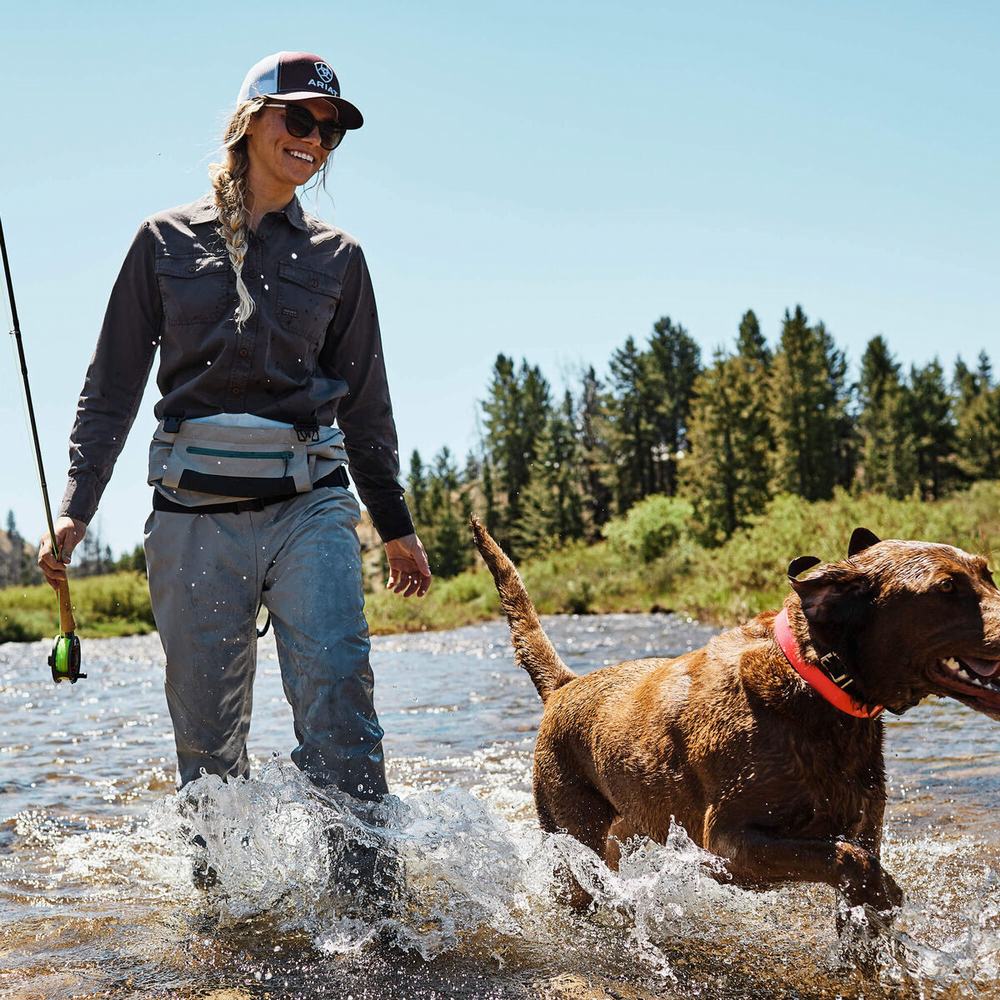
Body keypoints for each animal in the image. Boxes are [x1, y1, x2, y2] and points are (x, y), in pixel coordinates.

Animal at [470, 520, 1000, 916]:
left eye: (987, 572)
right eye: (946, 587)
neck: (815, 681)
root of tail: (563, 686)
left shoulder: (863, 825)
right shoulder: (728, 844)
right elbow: (847, 860)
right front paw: (883, 890)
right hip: (573, 836)